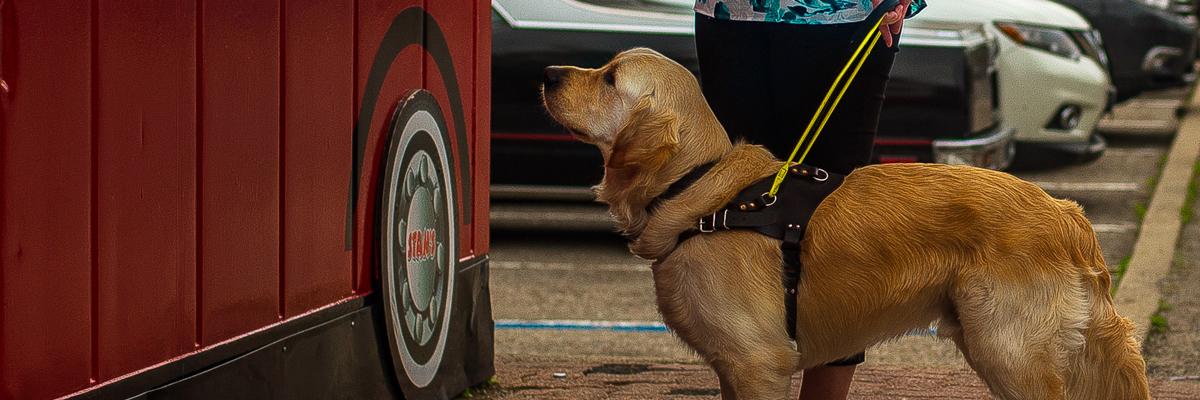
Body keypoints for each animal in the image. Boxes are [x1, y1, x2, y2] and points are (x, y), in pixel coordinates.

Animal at [540, 47, 1147, 398]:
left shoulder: (757, 362)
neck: (700, 188)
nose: (545, 73)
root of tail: (1067, 213)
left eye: (610, 79)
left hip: (1009, 350)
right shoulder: (732, 369)